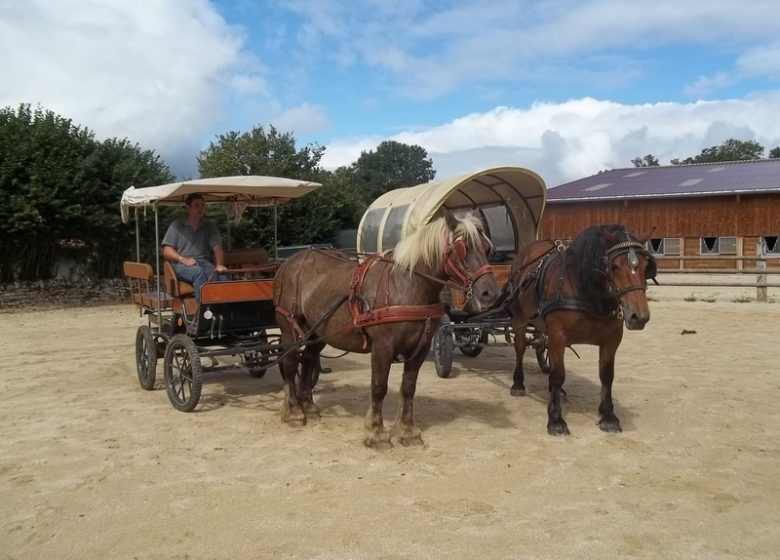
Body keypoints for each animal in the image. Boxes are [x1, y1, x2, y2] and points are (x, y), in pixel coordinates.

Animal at [272, 212, 500, 448]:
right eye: (462, 248)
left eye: (486, 249)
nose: (490, 294)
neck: (406, 286)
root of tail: (288, 264)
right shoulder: (383, 347)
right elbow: (379, 387)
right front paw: (376, 432)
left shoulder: (420, 348)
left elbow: (408, 388)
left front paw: (408, 432)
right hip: (291, 329)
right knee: (290, 364)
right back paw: (295, 412)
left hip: (317, 333)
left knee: (308, 361)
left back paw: (309, 407)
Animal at [508, 225, 656, 436]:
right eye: (615, 266)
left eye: (646, 266)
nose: (639, 317)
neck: (586, 292)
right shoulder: (558, 336)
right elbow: (558, 374)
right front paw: (556, 419)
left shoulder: (612, 340)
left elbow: (607, 375)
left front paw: (608, 415)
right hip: (519, 317)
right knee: (520, 347)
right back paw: (518, 383)